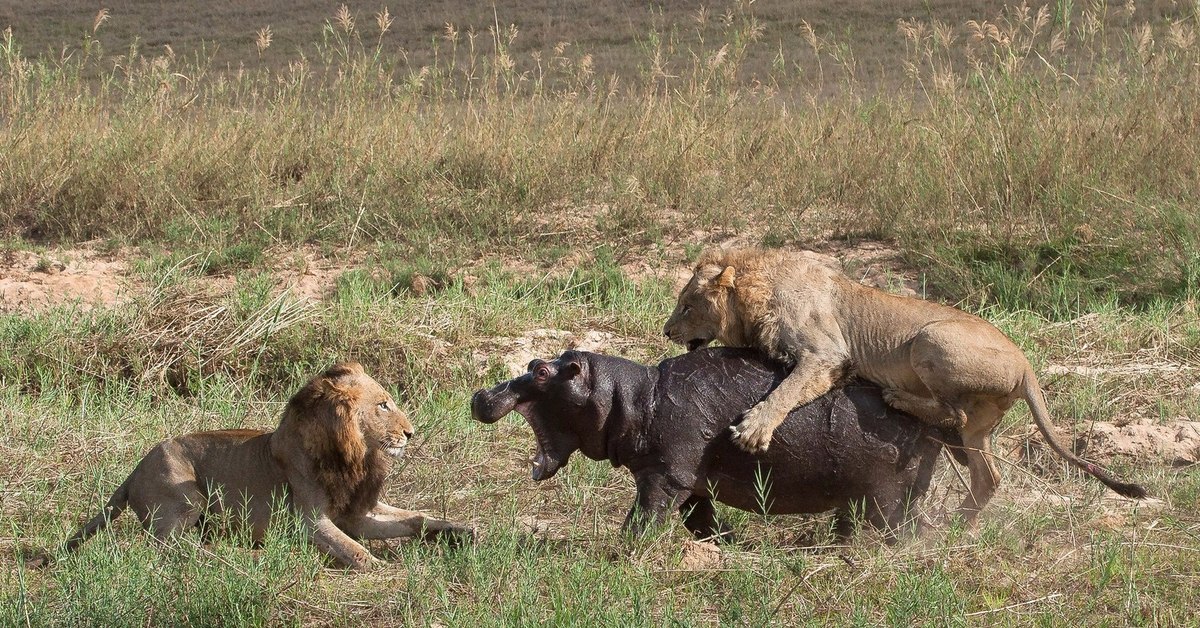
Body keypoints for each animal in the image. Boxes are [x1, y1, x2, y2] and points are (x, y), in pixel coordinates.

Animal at [52, 357, 472, 569]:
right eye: (383, 405)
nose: (411, 433)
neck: (356, 456)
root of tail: (133, 471)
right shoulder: (310, 521)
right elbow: (355, 551)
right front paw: (386, 568)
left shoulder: (355, 512)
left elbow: (413, 517)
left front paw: (458, 530)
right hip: (185, 491)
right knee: (167, 547)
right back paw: (235, 554)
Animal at [662, 248, 1147, 523]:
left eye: (687, 305)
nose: (666, 332)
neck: (755, 290)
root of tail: (1027, 364)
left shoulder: (827, 355)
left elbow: (786, 390)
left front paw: (754, 429)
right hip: (977, 428)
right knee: (987, 475)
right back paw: (957, 526)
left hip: (930, 339)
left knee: (952, 411)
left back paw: (897, 397)